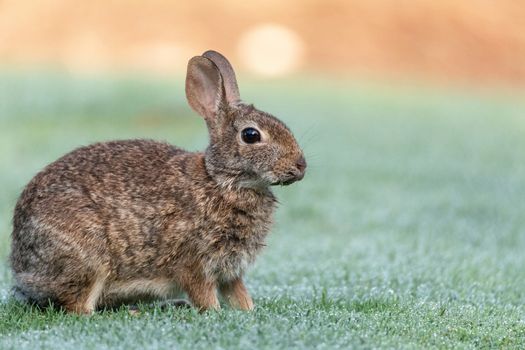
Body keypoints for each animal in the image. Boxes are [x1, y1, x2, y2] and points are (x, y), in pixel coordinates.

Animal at [9, 50, 308, 314]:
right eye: (251, 135)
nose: (301, 165)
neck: (220, 180)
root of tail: (22, 271)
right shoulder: (194, 263)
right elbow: (204, 295)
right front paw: (215, 312)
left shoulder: (230, 270)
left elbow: (238, 293)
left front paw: (248, 310)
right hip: (87, 260)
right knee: (78, 307)